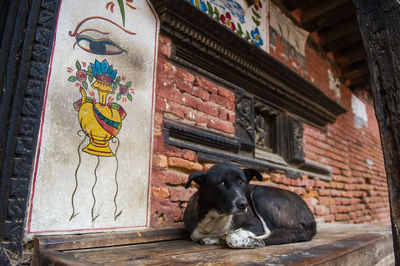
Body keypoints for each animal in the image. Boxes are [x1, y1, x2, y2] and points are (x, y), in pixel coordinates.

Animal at [183, 163, 318, 248]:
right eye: (221, 183)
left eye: (241, 182)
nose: (243, 204)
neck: (215, 218)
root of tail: (312, 218)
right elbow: (206, 238)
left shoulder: (255, 224)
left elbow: (231, 237)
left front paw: (249, 241)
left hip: (260, 192)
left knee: (276, 232)